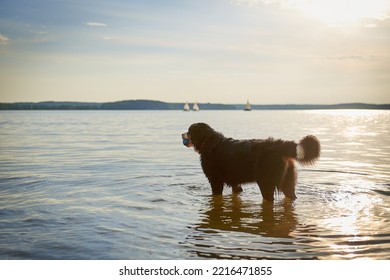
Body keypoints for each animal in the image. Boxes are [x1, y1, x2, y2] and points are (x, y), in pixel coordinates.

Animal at [182, 122, 320, 201]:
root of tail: (278, 145)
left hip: (266, 182)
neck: (208, 141)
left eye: (189, 131)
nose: (182, 134)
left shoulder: (215, 180)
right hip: (287, 182)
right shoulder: (235, 181)